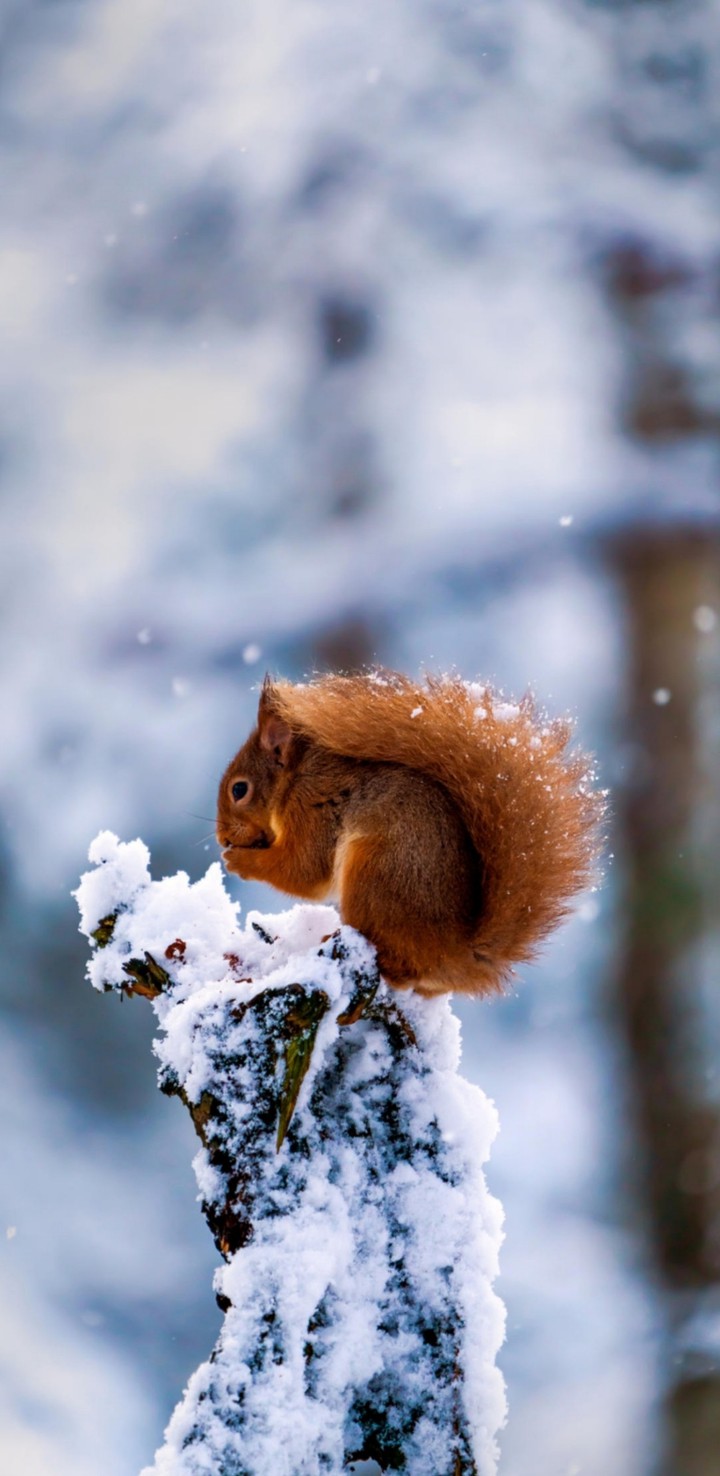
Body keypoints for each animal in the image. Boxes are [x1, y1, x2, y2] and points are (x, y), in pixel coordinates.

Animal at [216, 670, 604, 997]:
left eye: (239, 790)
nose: (221, 838)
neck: (293, 781)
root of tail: (456, 956)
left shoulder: (313, 809)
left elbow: (304, 871)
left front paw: (238, 860)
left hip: (376, 873)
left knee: (399, 969)